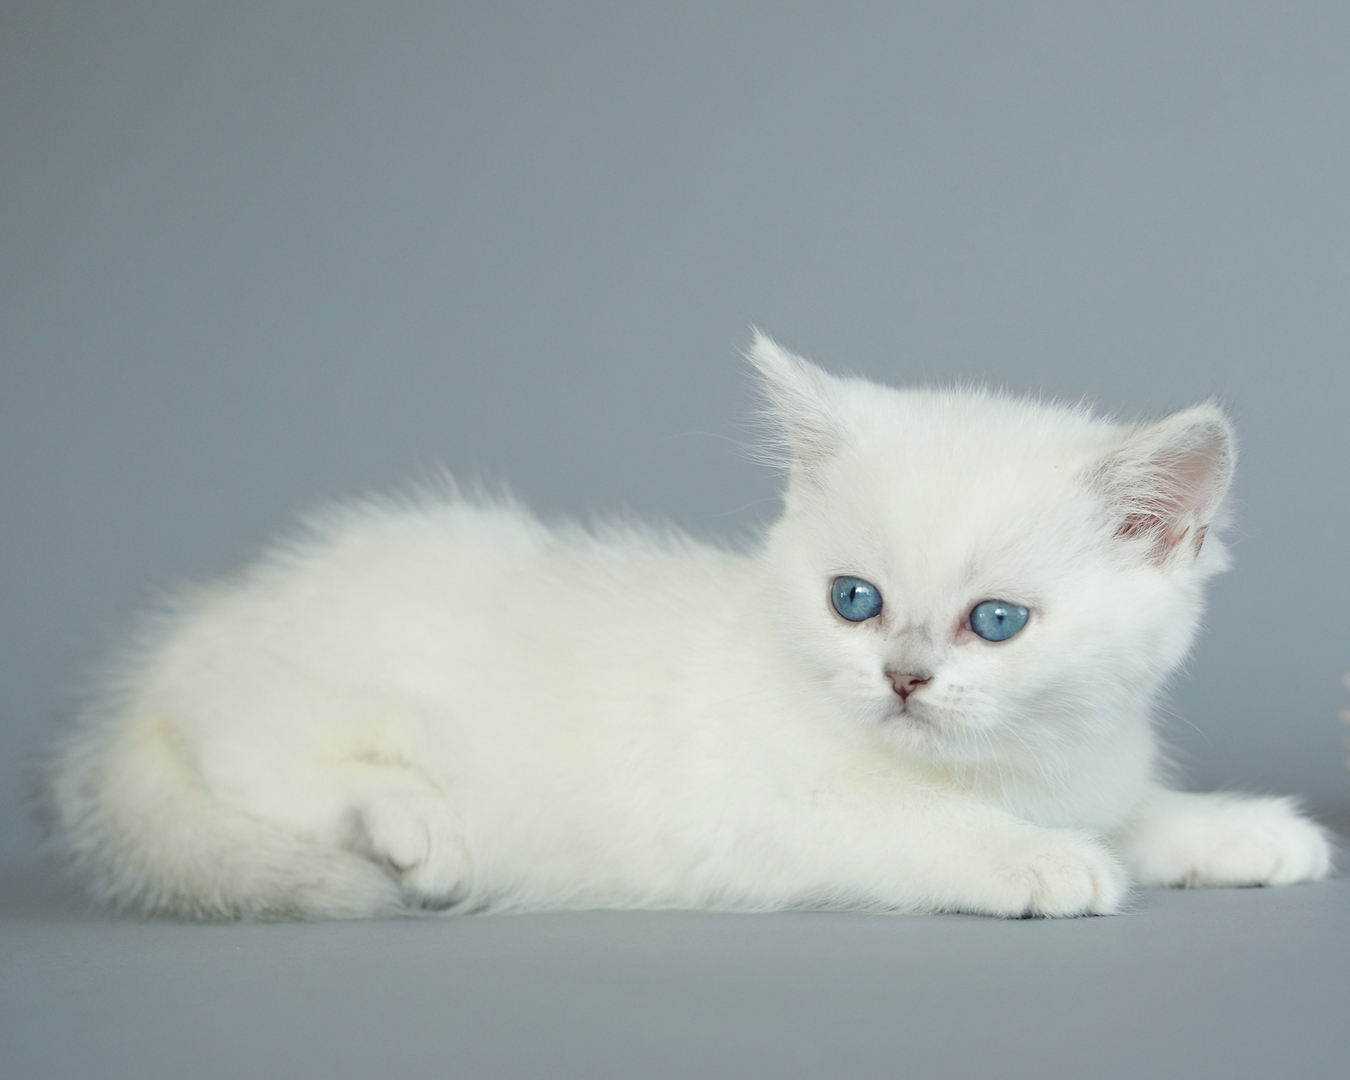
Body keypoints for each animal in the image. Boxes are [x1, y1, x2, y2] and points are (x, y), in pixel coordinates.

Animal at [42, 333, 1328, 918]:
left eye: (996, 621)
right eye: (854, 601)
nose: (904, 678)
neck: (1004, 766)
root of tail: (194, 633)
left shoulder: (1090, 763)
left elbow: (1137, 811)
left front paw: (1244, 834)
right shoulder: (761, 820)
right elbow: (916, 828)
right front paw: (1038, 859)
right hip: (315, 707)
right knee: (260, 771)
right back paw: (414, 828)